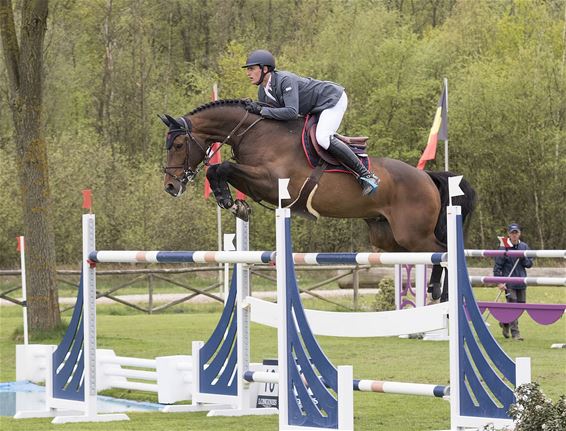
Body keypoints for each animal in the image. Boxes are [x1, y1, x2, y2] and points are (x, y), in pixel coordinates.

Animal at [161, 99, 480, 298]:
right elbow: (219, 170)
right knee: (430, 255)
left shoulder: (272, 182)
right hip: (389, 238)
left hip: (414, 234)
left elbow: (222, 166)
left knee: (443, 252)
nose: (170, 186)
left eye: (178, 145)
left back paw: (443, 293)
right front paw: (235, 204)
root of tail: (426, 176)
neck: (256, 133)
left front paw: (230, 201)